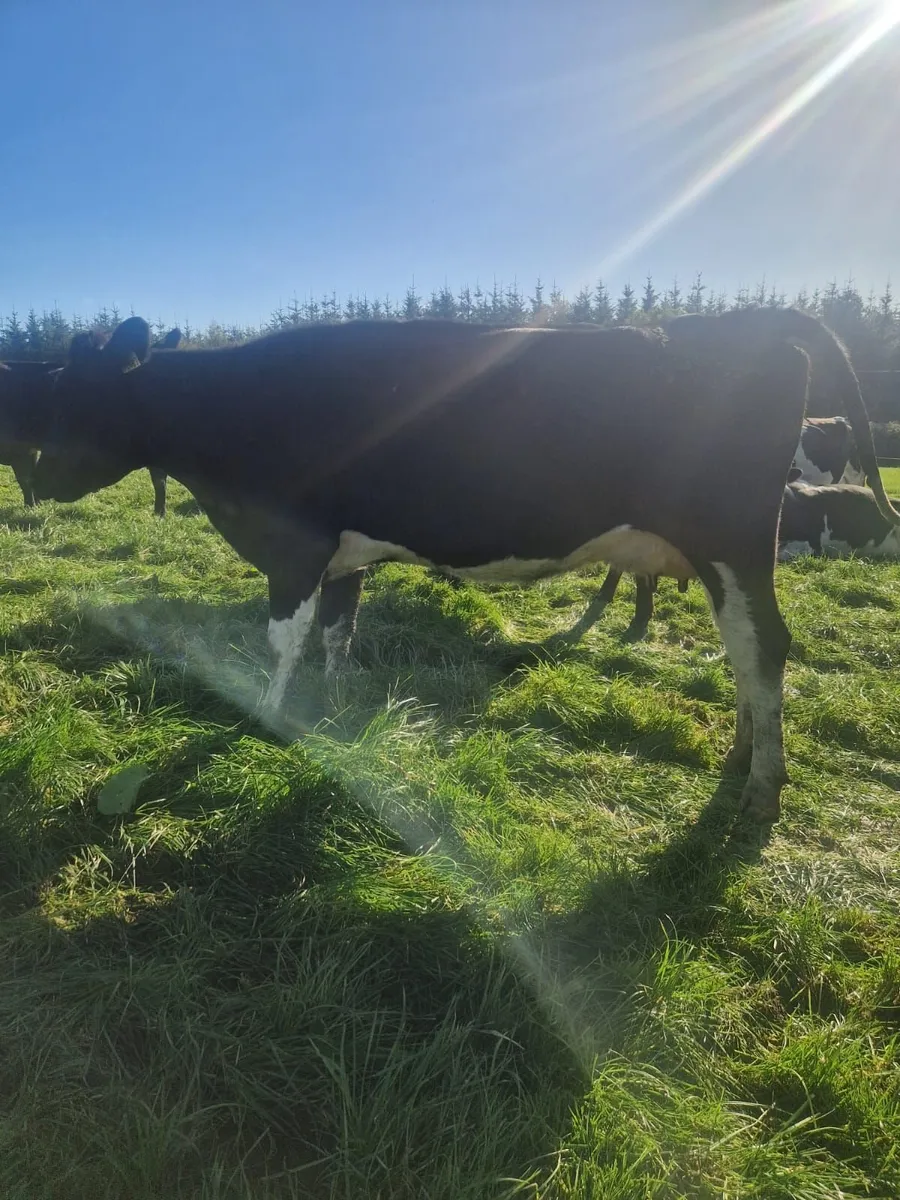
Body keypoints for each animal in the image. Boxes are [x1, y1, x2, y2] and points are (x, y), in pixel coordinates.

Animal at [12, 308, 899, 825]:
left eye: (81, 395)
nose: (41, 477)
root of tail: (744, 325)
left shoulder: (294, 546)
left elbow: (283, 642)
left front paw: (266, 718)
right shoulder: (343, 554)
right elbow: (337, 635)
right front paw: (333, 711)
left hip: (733, 538)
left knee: (765, 646)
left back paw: (761, 786)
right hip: (721, 553)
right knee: (743, 649)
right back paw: (741, 754)